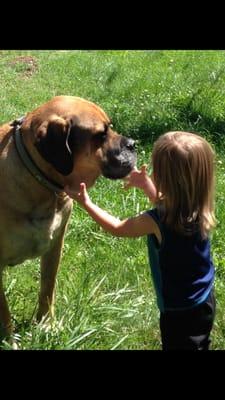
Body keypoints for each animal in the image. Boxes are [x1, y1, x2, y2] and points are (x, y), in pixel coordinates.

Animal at [0, 95, 135, 340]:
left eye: (110, 127)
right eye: (101, 135)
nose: (132, 143)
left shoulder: (56, 243)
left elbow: (48, 287)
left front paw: (46, 324)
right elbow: (3, 309)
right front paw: (9, 339)